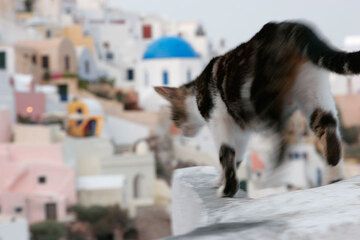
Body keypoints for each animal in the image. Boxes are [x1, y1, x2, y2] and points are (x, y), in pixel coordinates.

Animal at [153, 21, 358, 197]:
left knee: (283, 136)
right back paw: (334, 173)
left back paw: (275, 168)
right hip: (312, 90)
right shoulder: (240, 131)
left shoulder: (220, 122)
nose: (180, 131)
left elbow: (226, 154)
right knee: (327, 126)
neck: (196, 91)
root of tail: (286, 26)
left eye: (174, 118)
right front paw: (221, 180)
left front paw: (227, 189)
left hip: (262, 99)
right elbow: (236, 157)